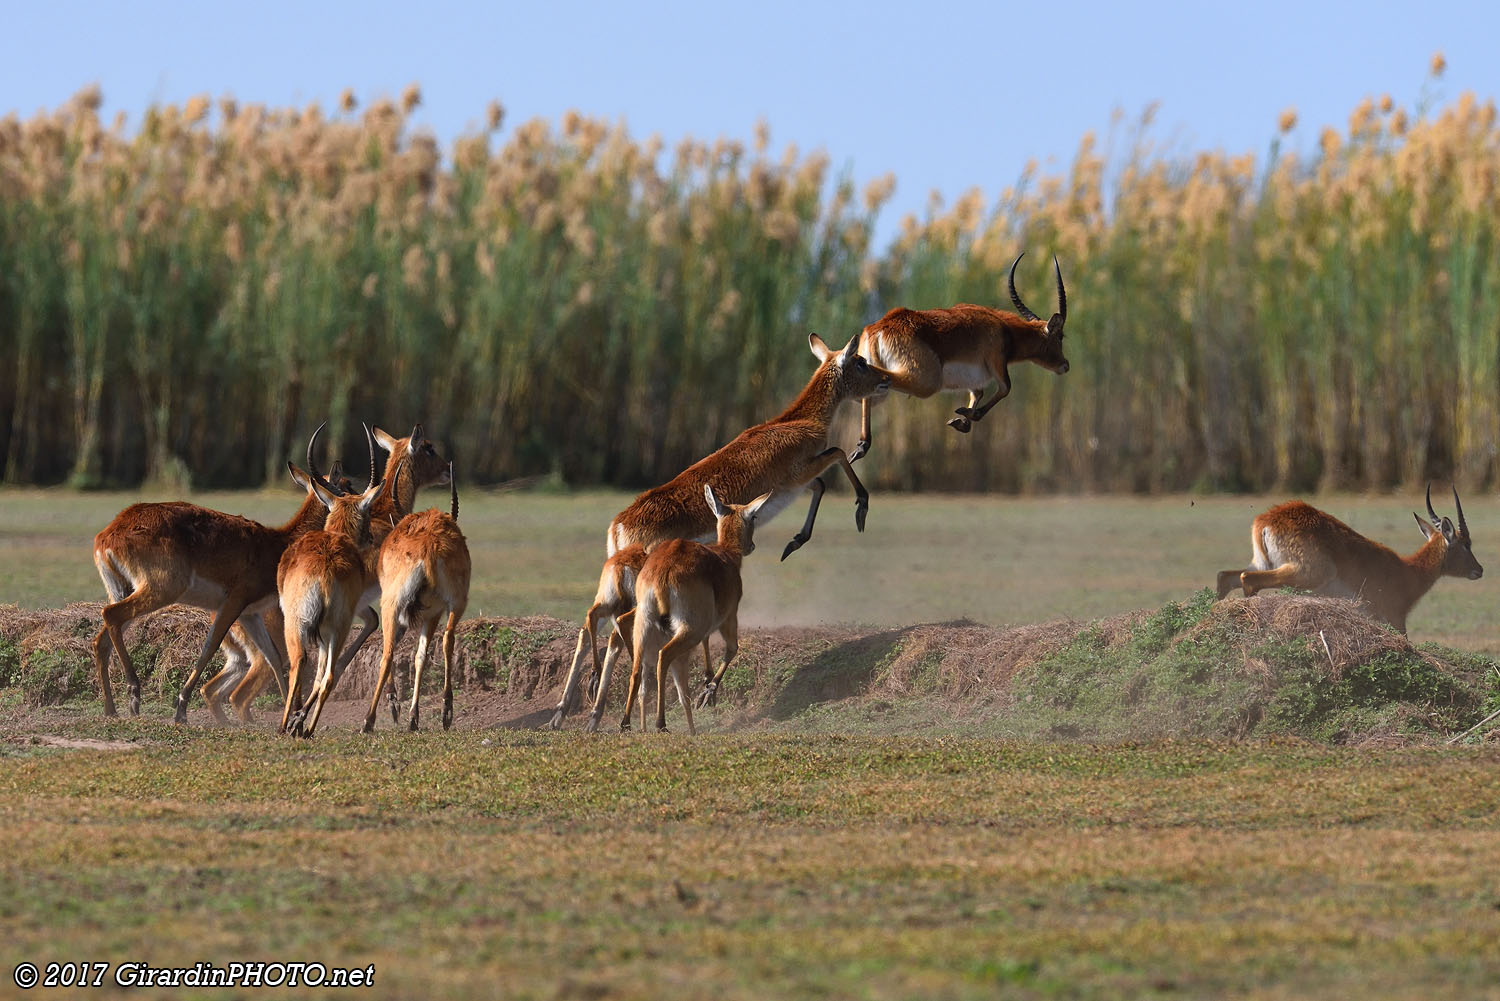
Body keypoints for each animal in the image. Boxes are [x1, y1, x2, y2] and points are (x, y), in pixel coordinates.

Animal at [279, 426, 387, 741]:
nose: (370, 538)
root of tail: (324, 571)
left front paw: (296, 721)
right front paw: (299, 721)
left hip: (304, 625)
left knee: (302, 664)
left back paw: (288, 726)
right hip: (332, 629)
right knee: (323, 674)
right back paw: (300, 727)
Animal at [621, 486, 774, 735]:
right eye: (754, 516)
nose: (751, 546)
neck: (726, 555)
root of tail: (662, 571)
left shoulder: (708, 623)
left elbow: (707, 643)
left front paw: (707, 680)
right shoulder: (729, 617)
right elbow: (732, 649)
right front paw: (708, 693)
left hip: (643, 623)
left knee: (636, 668)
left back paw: (625, 723)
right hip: (688, 628)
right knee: (664, 656)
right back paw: (661, 723)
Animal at [846, 256, 1068, 465]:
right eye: (1060, 336)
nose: (1065, 365)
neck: (1004, 329)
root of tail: (878, 328)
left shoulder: (974, 382)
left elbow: (977, 394)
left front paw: (961, 421)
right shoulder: (997, 363)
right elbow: (1005, 388)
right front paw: (967, 414)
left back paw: (861, 447)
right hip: (925, 383)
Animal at [1212, 486, 1482, 633]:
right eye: (1466, 543)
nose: (1479, 570)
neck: (1407, 571)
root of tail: (1267, 520)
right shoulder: (1394, 619)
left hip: (1263, 563)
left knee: (1226, 576)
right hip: (1304, 574)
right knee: (1249, 579)